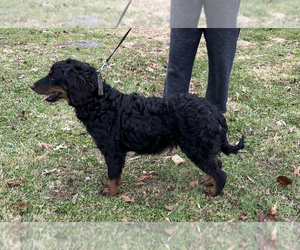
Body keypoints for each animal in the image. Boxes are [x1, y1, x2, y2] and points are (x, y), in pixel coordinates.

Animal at [31, 59, 244, 197]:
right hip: (203, 148)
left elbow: (113, 174)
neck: (101, 103)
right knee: (217, 164)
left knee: (221, 173)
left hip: (197, 148)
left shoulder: (113, 150)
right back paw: (209, 180)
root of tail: (215, 113)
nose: (32, 86)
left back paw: (213, 191)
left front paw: (111, 192)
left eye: (52, 76)